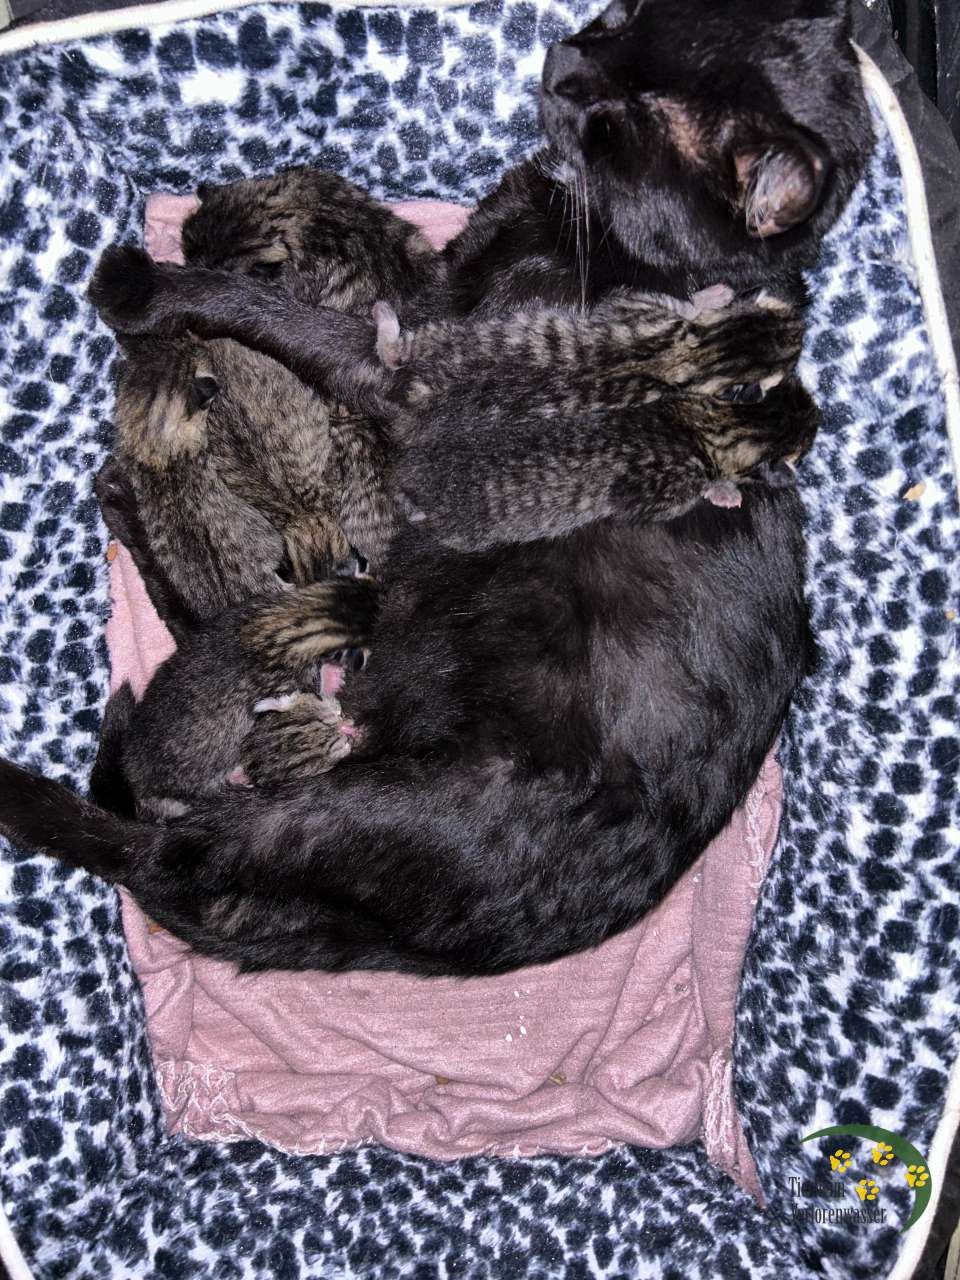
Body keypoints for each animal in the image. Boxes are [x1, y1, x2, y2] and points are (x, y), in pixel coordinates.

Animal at [0, 0, 872, 976]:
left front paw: (156, 286)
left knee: (155, 833)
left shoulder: (414, 366)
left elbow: (279, 315)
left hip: (323, 807)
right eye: (616, 19)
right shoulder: (423, 291)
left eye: (624, 125)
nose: (560, 60)